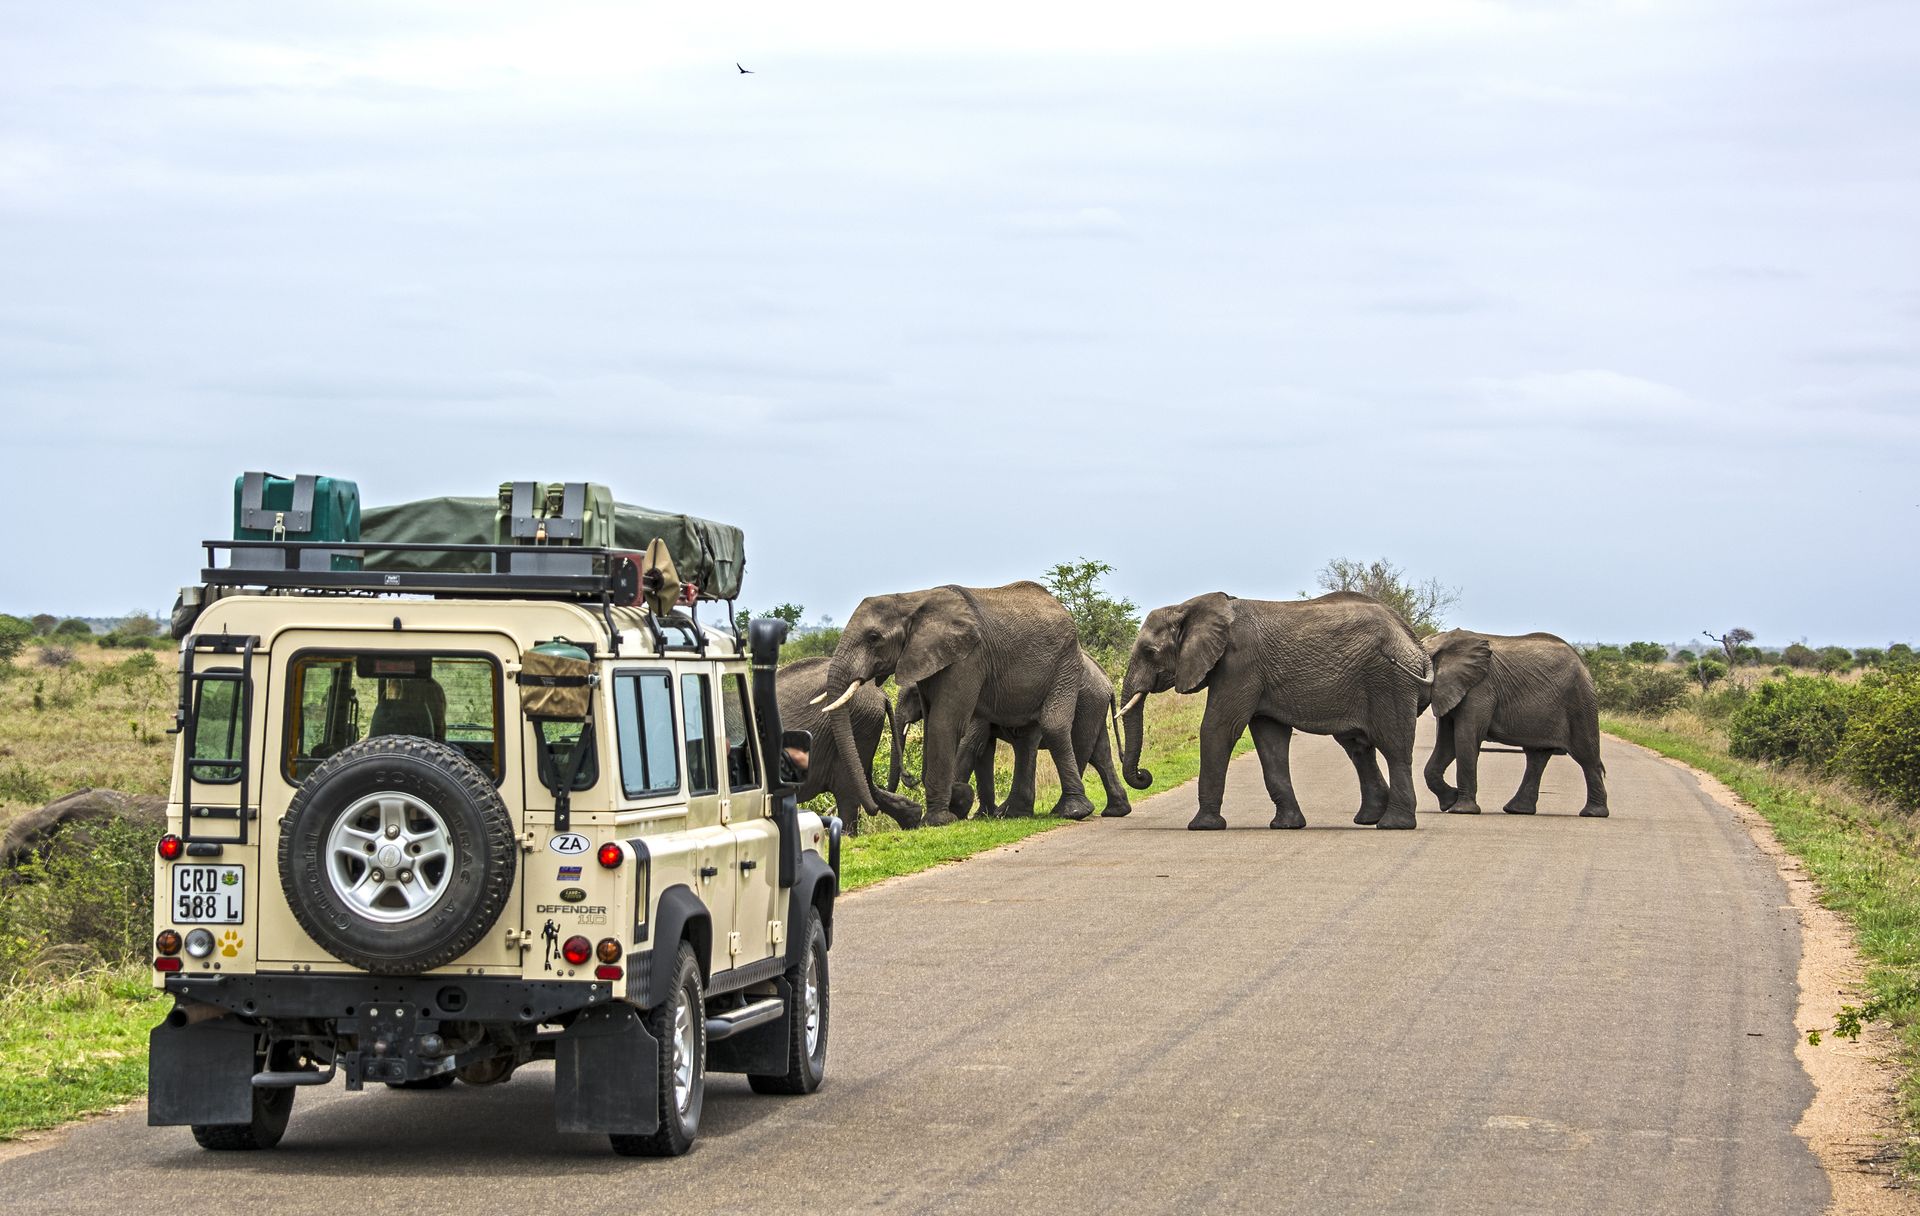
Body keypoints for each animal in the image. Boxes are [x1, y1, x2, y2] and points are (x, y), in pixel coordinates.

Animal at [890, 649, 1128, 822]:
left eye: (914, 694)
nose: (910, 778)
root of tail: (1107, 680)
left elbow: (970, 746)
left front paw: (959, 811)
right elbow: (983, 750)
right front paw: (980, 815)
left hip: (1087, 704)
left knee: (1079, 748)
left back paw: (1057, 811)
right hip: (1094, 708)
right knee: (1100, 755)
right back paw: (1116, 811)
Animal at [1121, 591, 1436, 833]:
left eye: (1149, 652)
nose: (1144, 775)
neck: (1189, 607)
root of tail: (1416, 645)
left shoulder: (1239, 664)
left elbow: (1218, 728)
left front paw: (1201, 826)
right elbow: (1269, 740)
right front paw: (1287, 825)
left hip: (1390, 681)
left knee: (1394, 748)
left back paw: (1394, 824)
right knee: (1358, 747)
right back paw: (1368, 819)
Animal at [1420, 630, 1612, 822]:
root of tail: (1582, 662)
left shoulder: (1480, 688)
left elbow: (1465, 738)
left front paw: (1461, 810)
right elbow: (1447, 743)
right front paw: (1449, 801)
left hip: (1580, 702)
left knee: (1585, 755)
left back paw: (1593, 813)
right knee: (1537, 757)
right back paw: (1517, 809)